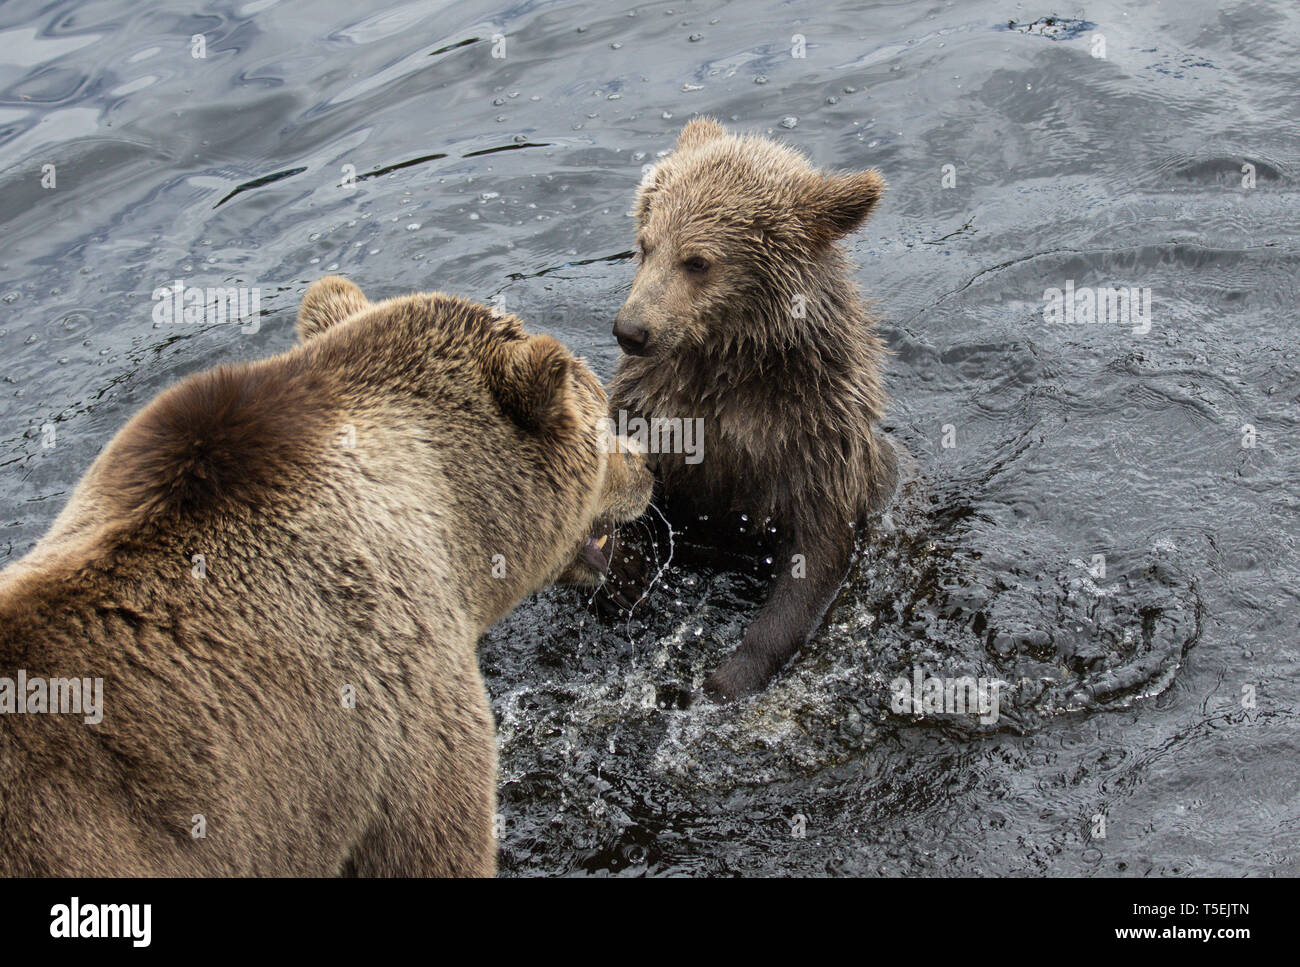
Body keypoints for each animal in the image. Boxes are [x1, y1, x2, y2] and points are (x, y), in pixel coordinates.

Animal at [602, 118, 898, 701]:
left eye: (696, 261)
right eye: (646, 245)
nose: (631, 331)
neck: (731, 369)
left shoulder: (816, 436)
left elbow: (815, 552)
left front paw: (730, 675)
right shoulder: (652, 409)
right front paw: (620, 573)